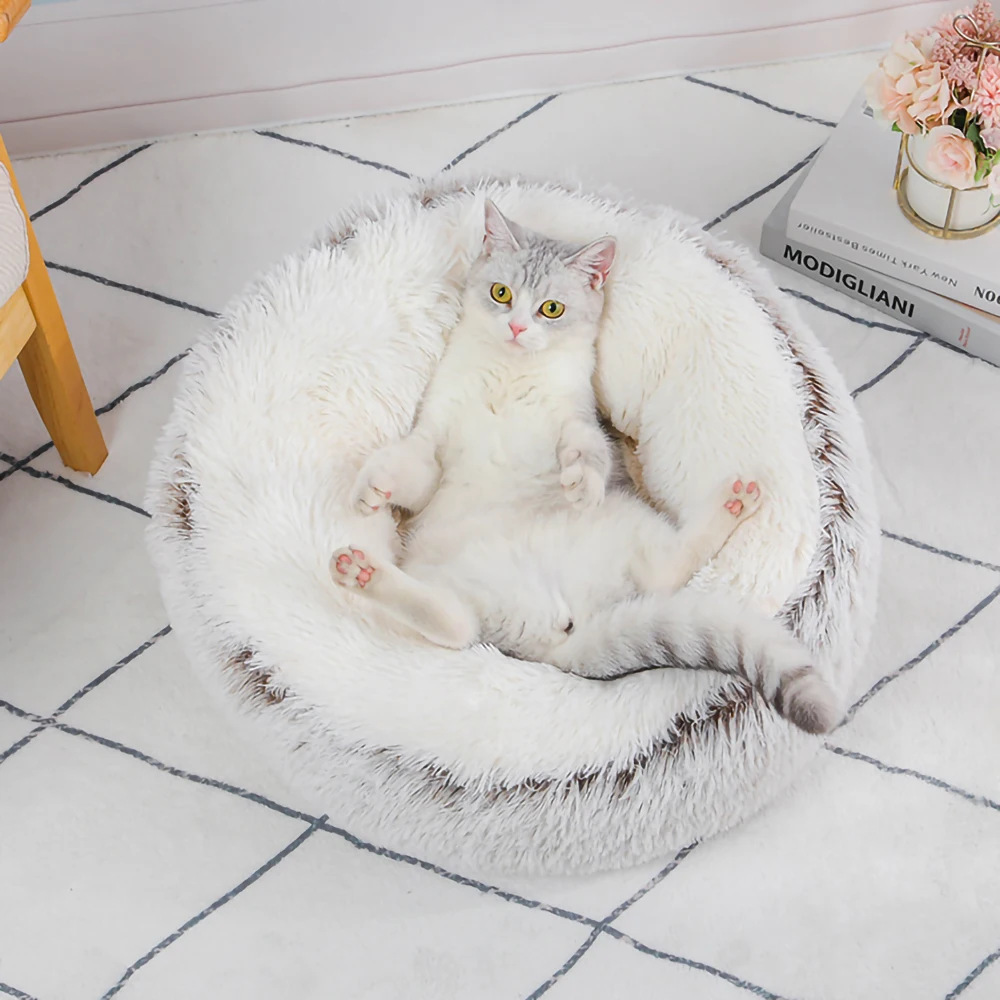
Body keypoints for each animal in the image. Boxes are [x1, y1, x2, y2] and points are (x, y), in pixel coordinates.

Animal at [330, 201, 844, 736]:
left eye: (551, 309)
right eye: (501, 293)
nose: (517, 328)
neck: (510, 375)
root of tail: (554, 639)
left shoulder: (577, 416)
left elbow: (587, 447)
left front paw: (581, 482)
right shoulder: (433, 436)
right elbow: (412, 465)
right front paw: (374, 489)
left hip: (624, 523)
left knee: (659, 574)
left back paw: (733, 501)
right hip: (460, 584)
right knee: (459, 626)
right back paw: (362, 574)